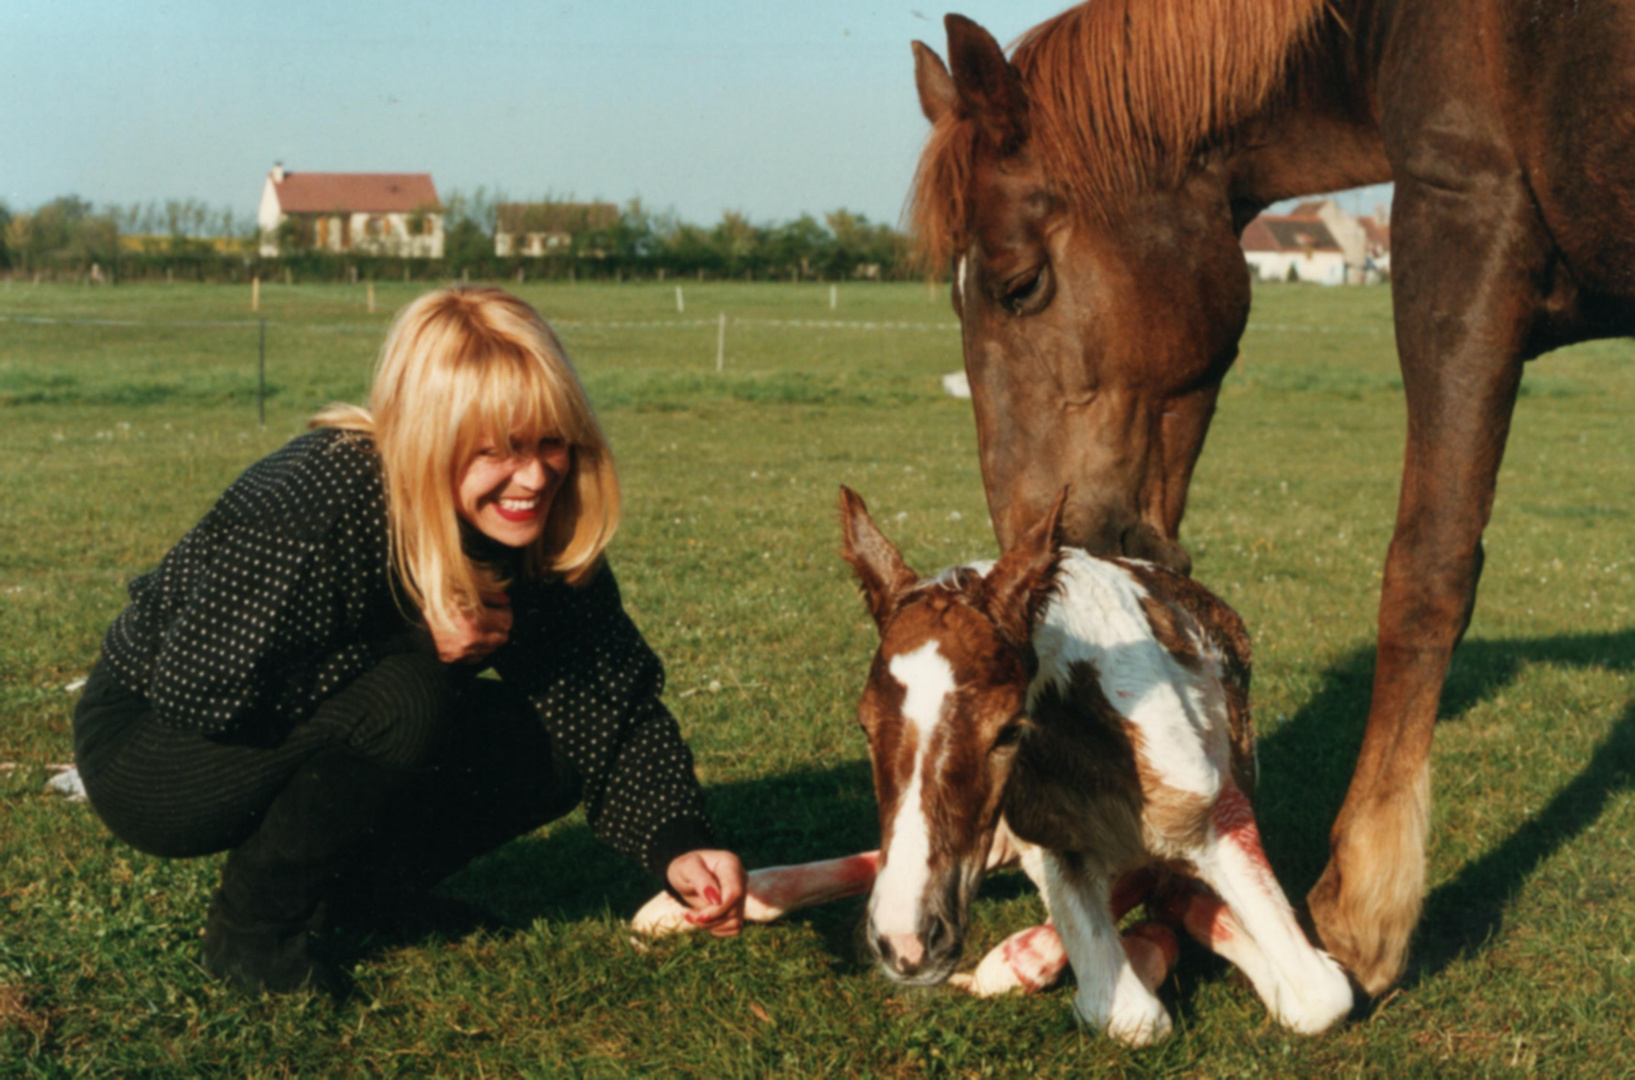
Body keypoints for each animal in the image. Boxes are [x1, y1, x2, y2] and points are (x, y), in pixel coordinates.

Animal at [837, 490, 1347, 1045]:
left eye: (1009, 730)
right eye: (863, 726)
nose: (906, 943)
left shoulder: (1219, 816)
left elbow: (1323, 996)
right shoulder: (1053, 841)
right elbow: (1127, 1014)